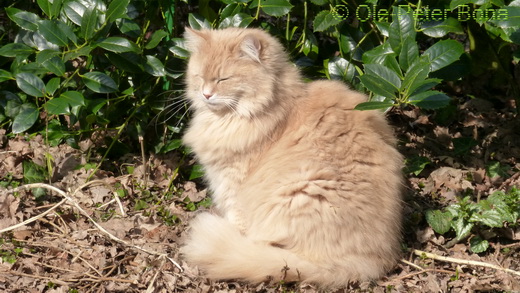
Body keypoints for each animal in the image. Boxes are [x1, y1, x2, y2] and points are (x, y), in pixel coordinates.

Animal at [181, 27, 404, 288]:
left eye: (223, 79)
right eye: (199, 77)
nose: (206, 94)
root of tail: (371, 261)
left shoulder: (233, 187)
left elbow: (237, 221)